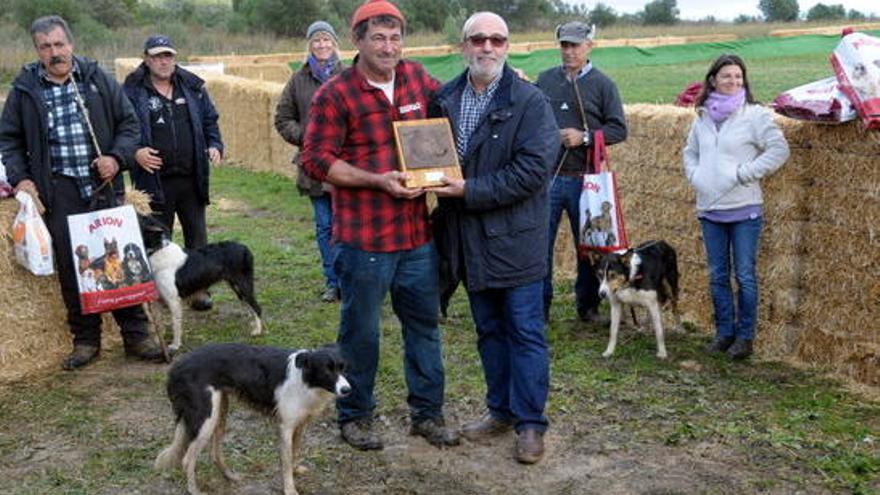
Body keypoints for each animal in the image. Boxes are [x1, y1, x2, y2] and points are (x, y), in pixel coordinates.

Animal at [139, 216, 262, 352]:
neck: (157, 250)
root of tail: (245, 248)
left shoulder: (174, 301)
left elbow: (175, 325)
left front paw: (175, 345)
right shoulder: (158, 300)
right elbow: (158, 324)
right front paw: (159, 344)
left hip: (242, 286)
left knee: (257, 307)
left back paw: (257, 331)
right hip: (237, 288)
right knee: (250, 306)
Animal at [155, 342, 350, 495]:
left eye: (342, 367)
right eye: (327, 370)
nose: (347, 390)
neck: (305, 380)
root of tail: (176, 366)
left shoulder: (300, 425)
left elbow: (295, 452)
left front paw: (295, 470)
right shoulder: (285, 427)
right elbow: (286, 462)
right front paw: (289, 489)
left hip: (220, 411)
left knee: (215, 453)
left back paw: (230, 476)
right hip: (205, 419)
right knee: (187, 459)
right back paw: (194, 490)